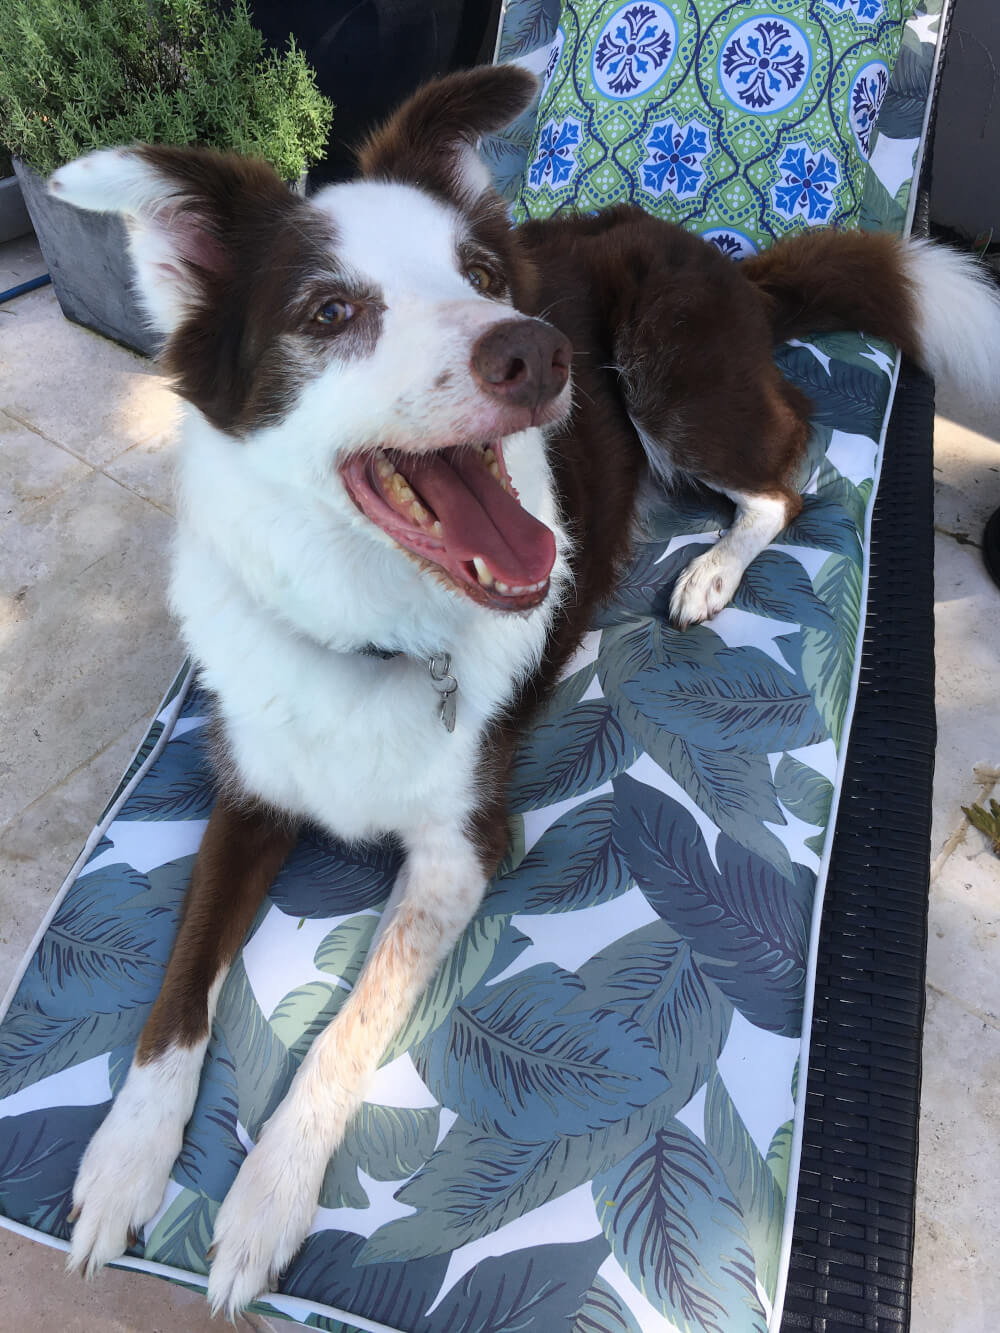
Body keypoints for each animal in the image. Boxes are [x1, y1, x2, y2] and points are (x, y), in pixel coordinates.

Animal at [49, 62, 1000, 1311]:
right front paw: (123, 1159)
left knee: (791, 468)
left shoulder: (463, 849)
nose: (536, 351)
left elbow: (347, 1023)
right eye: (329, 314)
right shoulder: (248, 790)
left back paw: (710, 568)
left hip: (672, 377)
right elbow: (176, 994)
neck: (371, 630)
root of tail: (716, 254)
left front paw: (263, 1201)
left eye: (481, 276)